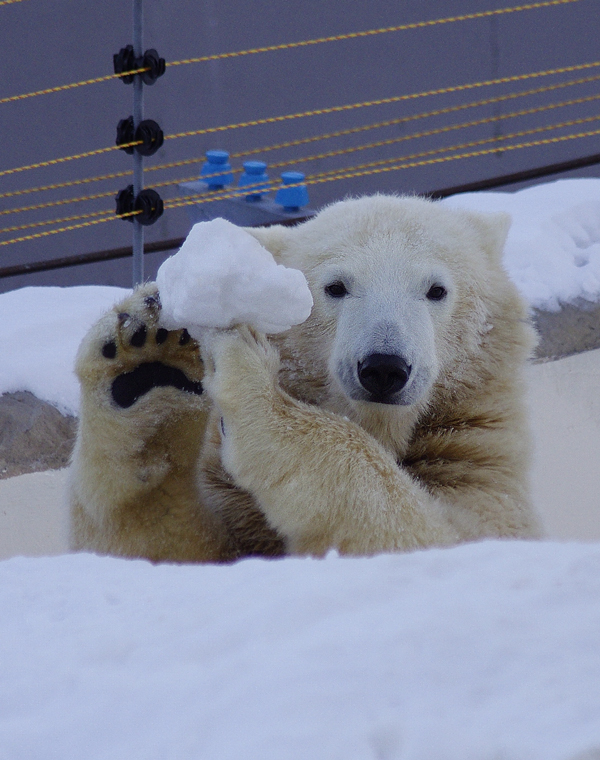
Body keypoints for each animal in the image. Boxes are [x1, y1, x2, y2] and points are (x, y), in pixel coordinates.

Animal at [68, 196, 540, 564]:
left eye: (436, 289)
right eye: (335, 286)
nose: (383, 368)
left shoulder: (476, 463)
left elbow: (445, 533)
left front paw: (250, 378)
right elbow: (168, 548)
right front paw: (147, 359)